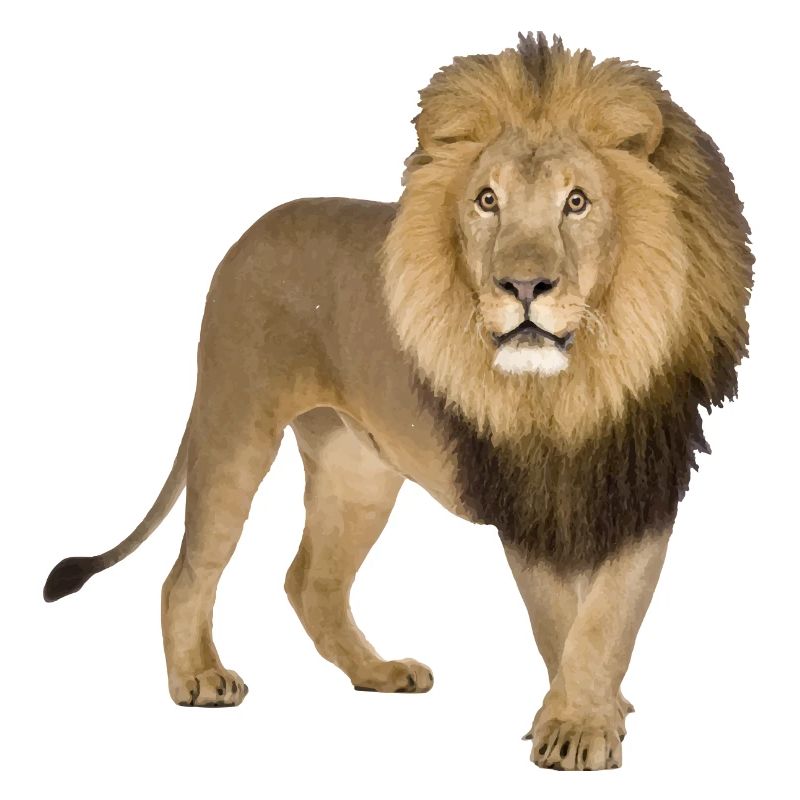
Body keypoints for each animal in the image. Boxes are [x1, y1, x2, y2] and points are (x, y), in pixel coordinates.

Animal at [43, 33, 752, 771]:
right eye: (488, 200)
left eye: (578, 202)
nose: (523, 285)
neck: (577, 381)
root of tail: (250, 233)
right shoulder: (522, 500)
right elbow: (560, 621)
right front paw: (575, 726)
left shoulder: (641, 487)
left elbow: (609, 619)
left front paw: (591, 716)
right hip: (236, 424)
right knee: (188, 570)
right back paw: (199, 677)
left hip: (358, 469)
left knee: (311, 581)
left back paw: (377, 673)